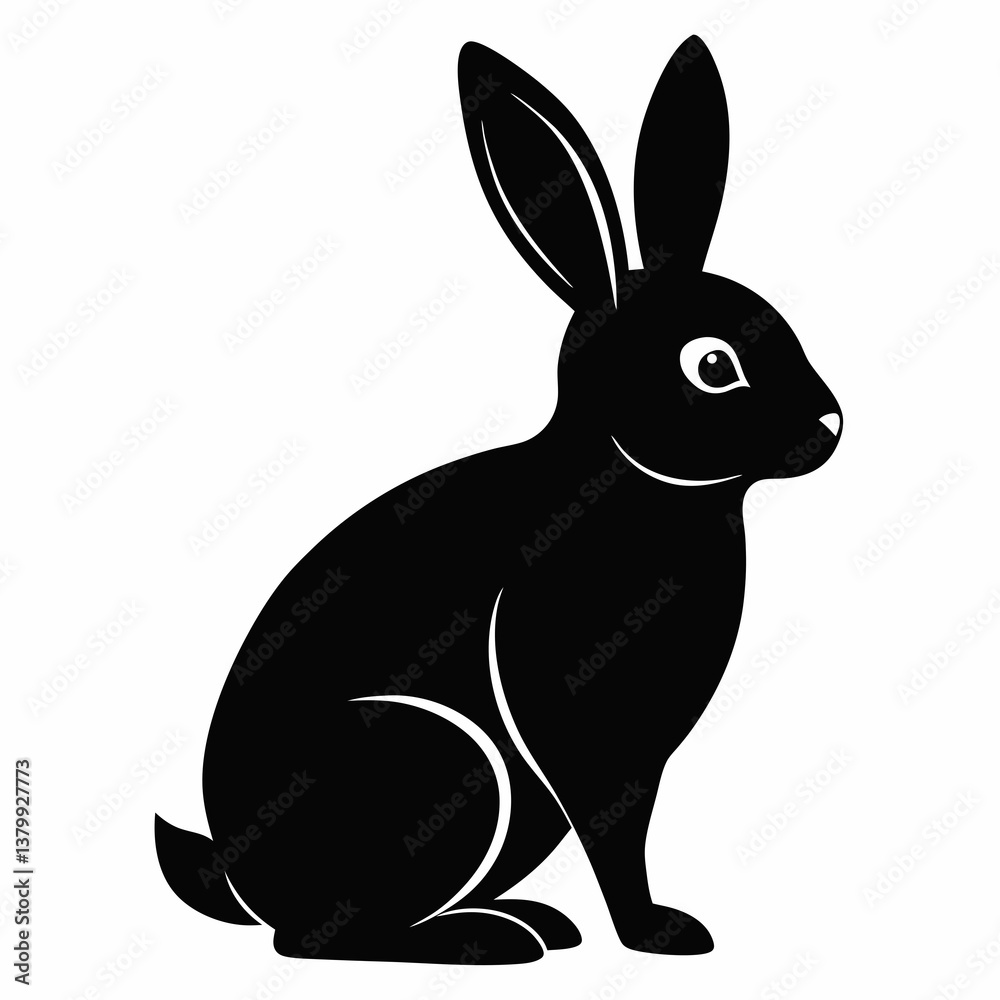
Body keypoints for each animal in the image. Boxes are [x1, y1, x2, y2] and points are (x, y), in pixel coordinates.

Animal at [155, 34, 842, 965]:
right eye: (712, 365)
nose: (831, 423)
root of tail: (240, 880)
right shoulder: (578, 725)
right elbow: (616, 834)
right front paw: (660, 934)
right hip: (443, 765)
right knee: (314, 939)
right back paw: (487, 941)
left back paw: (531, 923)